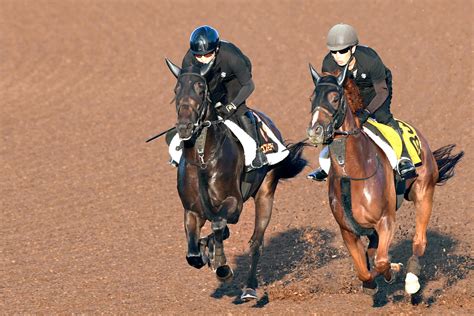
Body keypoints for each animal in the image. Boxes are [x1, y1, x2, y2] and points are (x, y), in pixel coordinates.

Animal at [166, 58, 308, 300]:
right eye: (176, 90)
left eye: (201, 89)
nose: (184, 127)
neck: (203, 159)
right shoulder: (192, 211)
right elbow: (193, 254)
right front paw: (207, 253)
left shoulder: (234, 202)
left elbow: (218, 225)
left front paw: (222, 267)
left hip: (265, 193)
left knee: (256, 243)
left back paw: (249, 287)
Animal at [306, 65, 464, 296]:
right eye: (312, 98)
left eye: (335, 98)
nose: (314, 131)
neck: (352, 173)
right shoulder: (348, 231)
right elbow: (364, 269)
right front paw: (372, 282)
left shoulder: (386, 220)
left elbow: (381, 262)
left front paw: (393, 271)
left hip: (423, 192)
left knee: (419, 241)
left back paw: (411, 280)